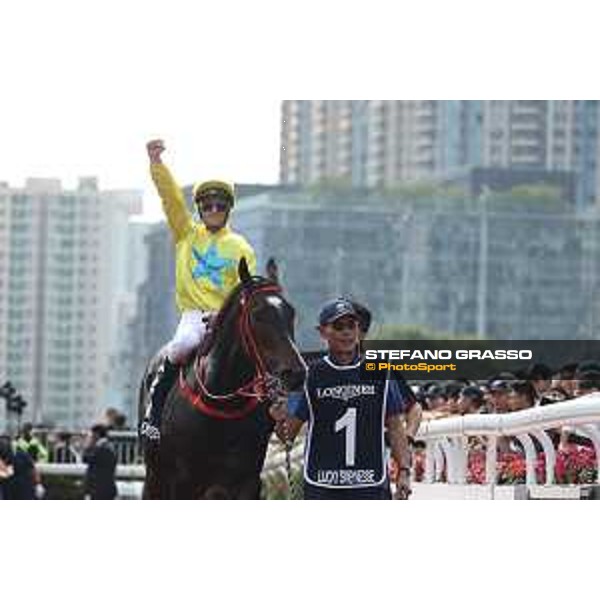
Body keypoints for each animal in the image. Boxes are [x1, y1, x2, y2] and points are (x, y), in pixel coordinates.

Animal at [139, 260, 308, 500]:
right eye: (258, 314)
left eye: (291, 313)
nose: (296, 373)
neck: (222, 402)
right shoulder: (182, 481)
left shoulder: (244, 482)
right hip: (156, 477)